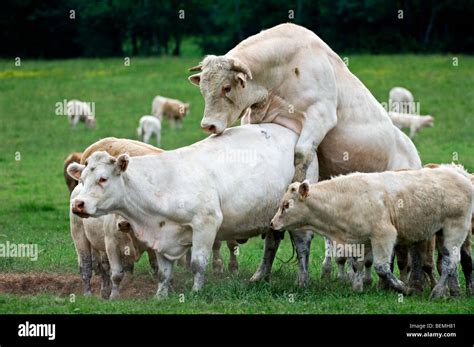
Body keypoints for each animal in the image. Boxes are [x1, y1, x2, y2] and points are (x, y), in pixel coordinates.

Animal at [67, 123, 296, 298]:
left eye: (103, 178)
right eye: (83, 179)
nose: (77, 204)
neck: (165, 185)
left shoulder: (206, 224)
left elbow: (197, 263)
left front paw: (196, 292)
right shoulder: (161, 235)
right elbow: (163, 272)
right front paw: (161, 295)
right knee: (272, 245)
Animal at [187, 22, 424, 290]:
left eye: (226, 87)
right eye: (203, 90)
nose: (208, 125)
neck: (283, 70)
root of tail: (411, 151)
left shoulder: (319, 115)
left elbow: (301, 154)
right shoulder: (255, 118)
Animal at [270, 165, 474, 300]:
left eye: (286, 205)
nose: (272, 223)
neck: (346, 198)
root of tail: (460, 173)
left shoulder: (384, 234)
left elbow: (381, 268)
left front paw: (403, 288)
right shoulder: (360, 240)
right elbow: (357, 264)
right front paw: (358, 286)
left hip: (455, 228)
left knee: (450, 262)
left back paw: (438, 292)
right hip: (441, 232)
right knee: (449, 262)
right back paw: (450, 291)